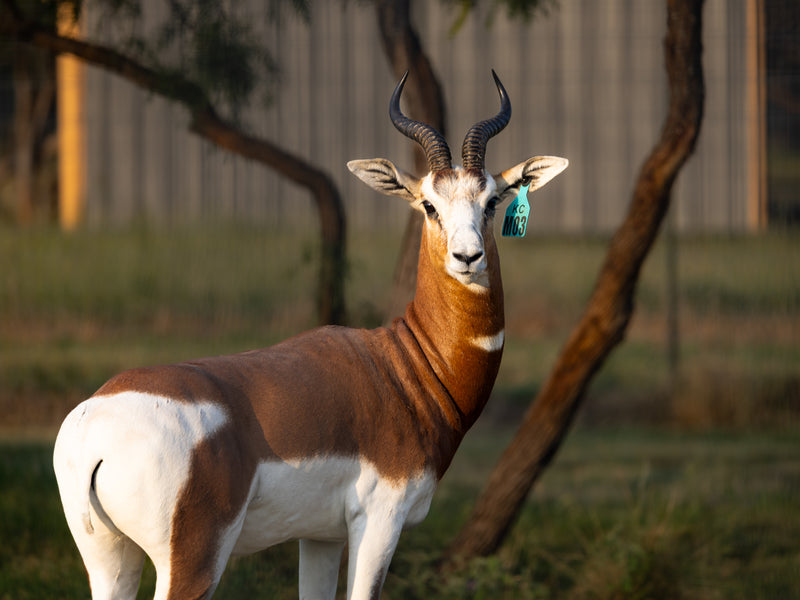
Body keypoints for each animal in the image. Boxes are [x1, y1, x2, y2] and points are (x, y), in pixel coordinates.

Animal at [53, 71, 567, 600]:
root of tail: (94, 428)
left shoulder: (320, 535)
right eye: (429, 204)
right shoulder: (379, 522)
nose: (468, 257)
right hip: (192, 563)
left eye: (491, 201)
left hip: (109, 559)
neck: (406, 368)